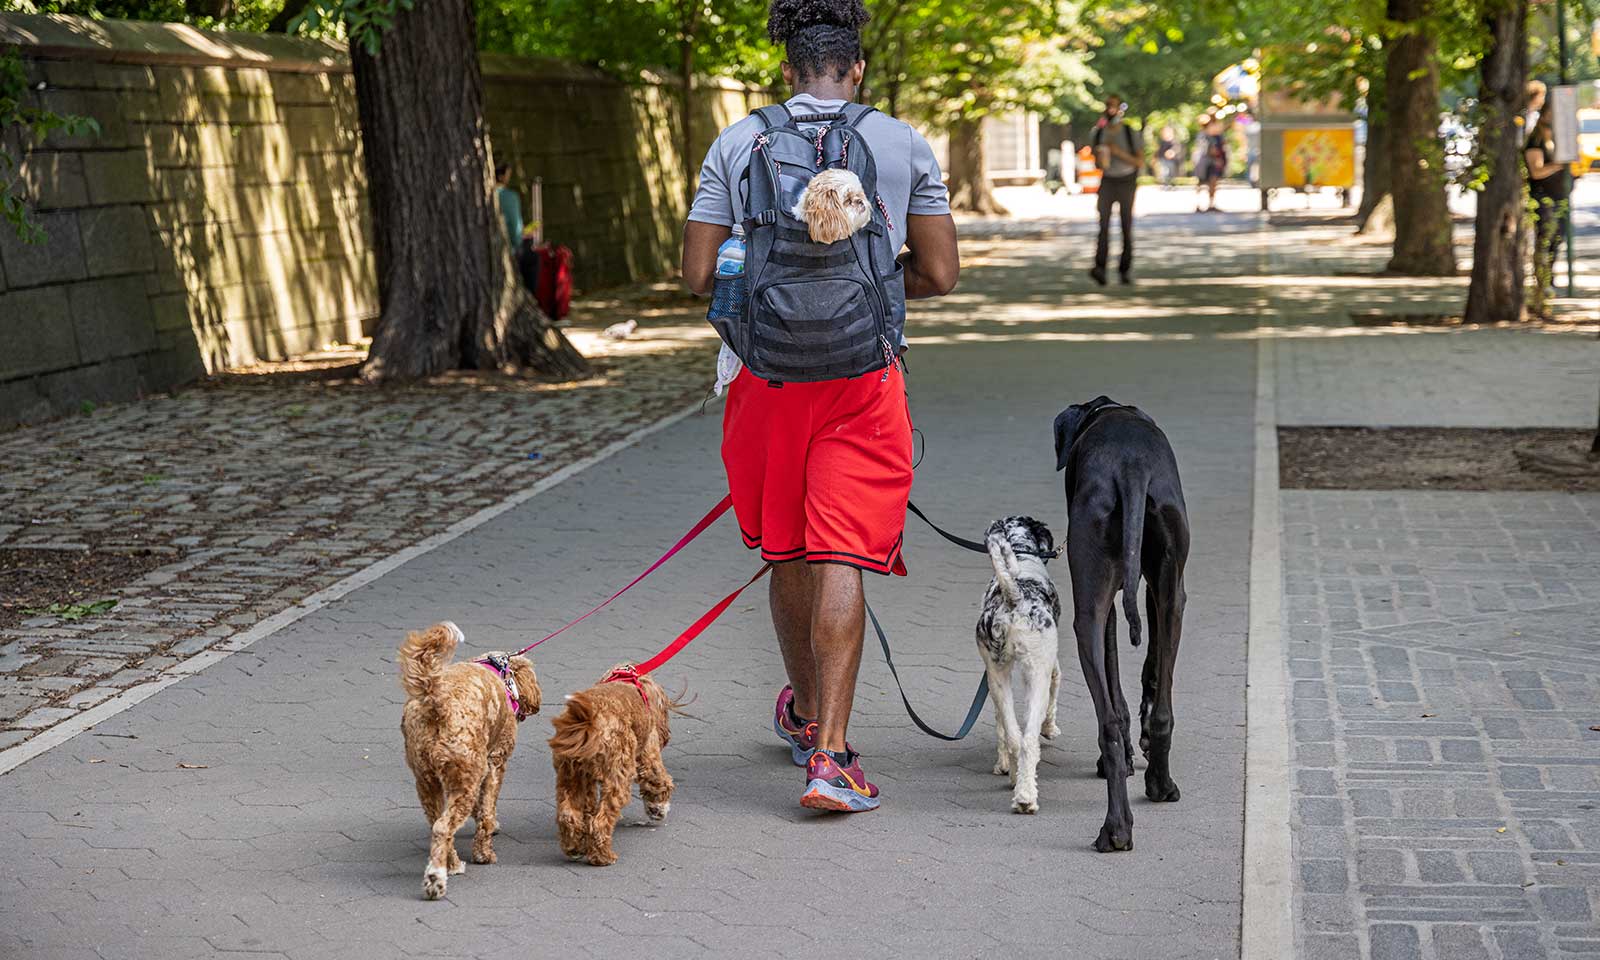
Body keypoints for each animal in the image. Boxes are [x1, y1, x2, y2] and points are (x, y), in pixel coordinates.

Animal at [400, 624, 544, 902]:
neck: (497, 671)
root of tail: (436, 698)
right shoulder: (495, 763)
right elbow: (487, 810)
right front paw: (484, 852)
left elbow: (482, 809)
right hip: (466, 776)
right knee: (443, 827)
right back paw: (437, 879)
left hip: (427, 781)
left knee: (437, 825)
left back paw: (451, 864)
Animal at [550, 662, 675, 864]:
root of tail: (588, 721)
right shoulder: (649, 754)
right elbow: (658, 783)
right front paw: (658, 809)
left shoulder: (587, 781)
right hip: (618, 775)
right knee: (600, 821)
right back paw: (603, 856)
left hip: (569, 774)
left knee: (568, 815)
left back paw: (574, 848)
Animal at [972, 515, 1062, 812]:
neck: (1022, 555)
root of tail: (1014, 598)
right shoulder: (1052, 668)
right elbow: (1054, 698)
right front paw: (1051, 729)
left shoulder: (993, 677)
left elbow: (1000, 726)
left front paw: (1001, 765)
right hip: (1037, 674)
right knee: (1028, 739)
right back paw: (1026, 797)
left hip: (997, 676)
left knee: (1014, 736)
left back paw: (1015, 780)